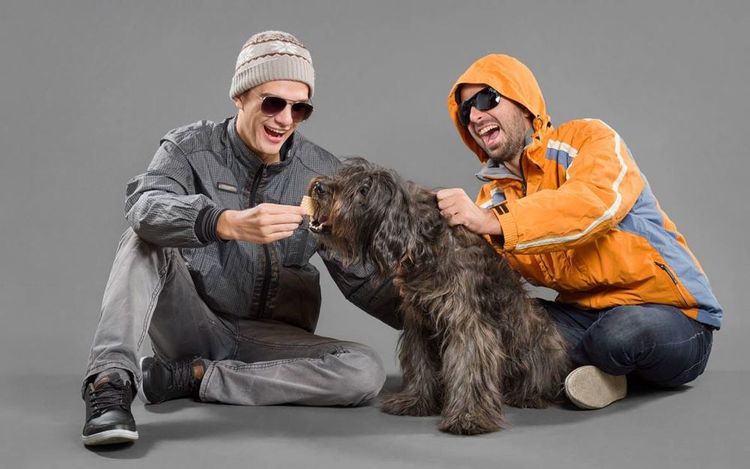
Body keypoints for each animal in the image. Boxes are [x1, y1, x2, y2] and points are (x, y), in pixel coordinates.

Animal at [307, 158, 571, 435]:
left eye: (364, 190)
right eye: (345, 174)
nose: (320, 187)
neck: (425, 245)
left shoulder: (468, 326)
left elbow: (468, 367)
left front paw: (468, 416)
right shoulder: (419, 324)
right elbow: (420, 364)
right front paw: (416, 402)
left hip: (545, 340)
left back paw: (528, 396)